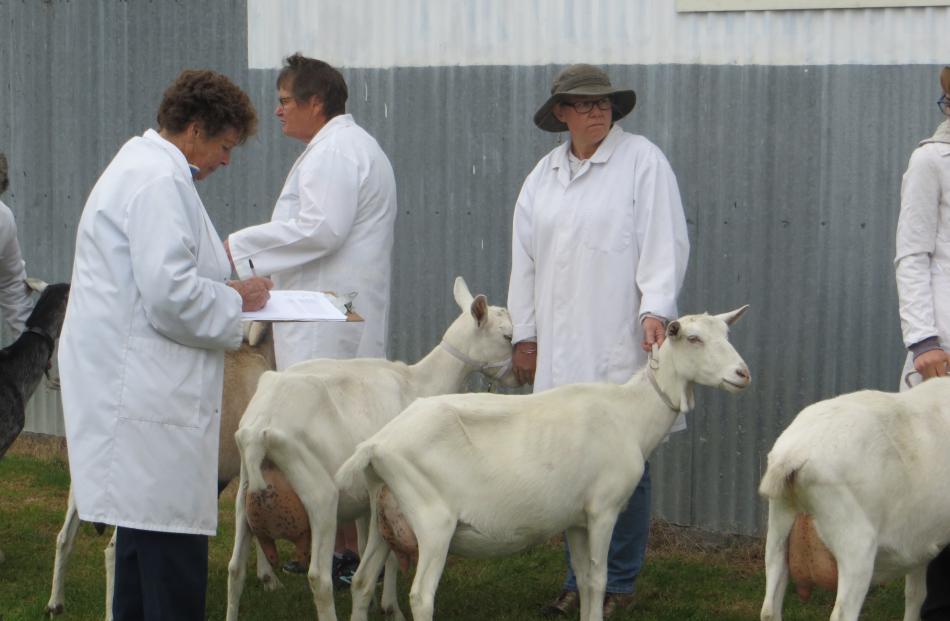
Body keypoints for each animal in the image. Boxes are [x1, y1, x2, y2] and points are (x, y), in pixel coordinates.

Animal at [226, 276, 516, 620]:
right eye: (507, 336)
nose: (517, 375)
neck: (420, 382)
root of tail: (259, 427)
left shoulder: (366, 497)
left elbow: (367, 548)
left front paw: (373, 600)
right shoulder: (389, 489)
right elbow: (388, 556)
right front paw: (392, 607)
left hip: (244, 491)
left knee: (235, 569)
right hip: (319, 495)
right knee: (318, 578)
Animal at [334, 306, 752, 620]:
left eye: (727, 334)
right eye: (694, 339)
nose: (742, 374)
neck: (630, 415)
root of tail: (377, 445)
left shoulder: (577, 517)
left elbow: (585, 580)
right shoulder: (603, 509)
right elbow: (600, 579)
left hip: (384, 510)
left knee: (363, 581)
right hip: (432, 520)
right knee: (421, 596)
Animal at [760, 372, 950, 620]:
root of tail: (792, 455)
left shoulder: (920, 541)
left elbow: (916, 595)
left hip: (778, 530)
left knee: (769, 608)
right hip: (855, 545)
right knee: (842, 613)